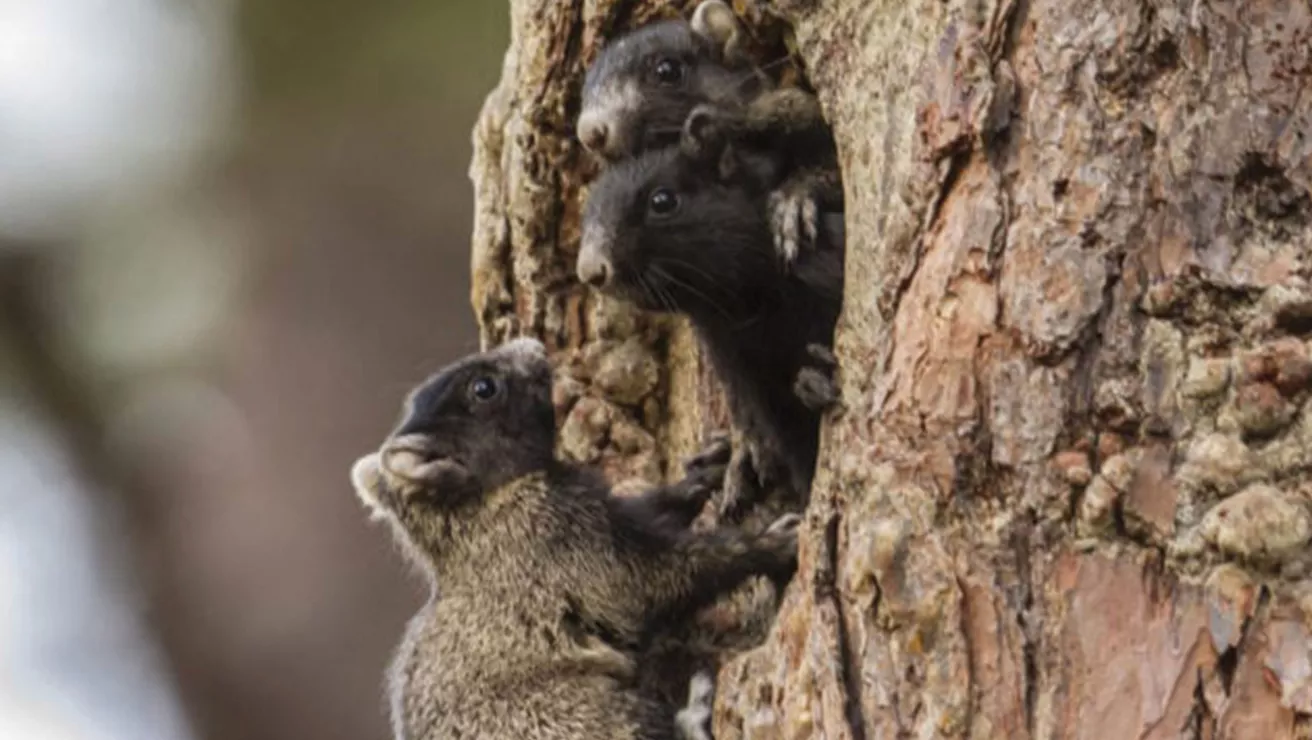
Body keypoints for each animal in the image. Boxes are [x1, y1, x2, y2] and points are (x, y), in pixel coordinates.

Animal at [351, 338, 797, 740]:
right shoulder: (563, 544)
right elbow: (657, 582)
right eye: (483, 389)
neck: (487, 505)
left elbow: (655, 508)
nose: (535, 346)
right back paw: (696, 713)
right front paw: (774, 545)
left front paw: (709, 470)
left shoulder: (606, 517)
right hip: (590, 715)